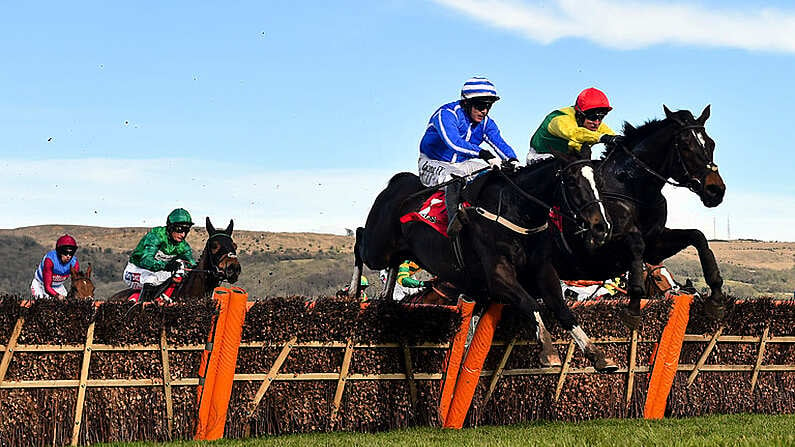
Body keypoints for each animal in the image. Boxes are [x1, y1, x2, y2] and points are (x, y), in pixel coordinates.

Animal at [354, 160, 620, 372]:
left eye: (599, 182)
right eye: (573, 183)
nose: (602, 227)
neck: (517, 211)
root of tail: (396, 183)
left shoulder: (543, 270)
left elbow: (563, 309)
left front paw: (598, 355)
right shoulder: (498, 274)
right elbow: (531, 303)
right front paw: (548, 350)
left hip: (399, 253)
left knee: (392, 263)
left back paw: (386, 298)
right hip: (377, 249)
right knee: (359, 238)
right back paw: (354, 293)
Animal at [552, 105, 728, 328]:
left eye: (711, 143)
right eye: (685, 145)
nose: (716, 190)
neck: (633, 188)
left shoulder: (655, 244)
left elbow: (698, 237)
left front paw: (716, 298)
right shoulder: (595, 248)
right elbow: (636, 245)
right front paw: (634, 307)